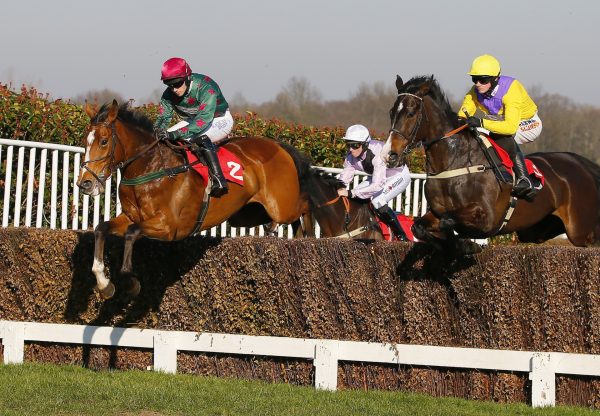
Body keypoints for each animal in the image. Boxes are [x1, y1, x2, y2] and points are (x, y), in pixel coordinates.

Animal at [78, 100, 310, 296]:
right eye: (84, 141)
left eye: (104, 141)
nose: (84, 183)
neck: (150, 167)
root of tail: (280, 146)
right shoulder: (132, 216)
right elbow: (101, 228)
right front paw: (104, 284)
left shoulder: (169, 226)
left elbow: (131, 233)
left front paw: (130, 281)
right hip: (247, 214)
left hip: (282, 206)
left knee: (304, 205)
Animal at [382, 77, 600, 255]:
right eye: (391, 112)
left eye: (411, 113)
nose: (389, 155)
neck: (455, 161)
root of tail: (585, 165)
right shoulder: (436, 211)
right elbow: (419, 227)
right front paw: (460, 246)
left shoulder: (487, 217)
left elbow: (449, 220)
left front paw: (466, 244)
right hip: (538, 229)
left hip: (582, 231)